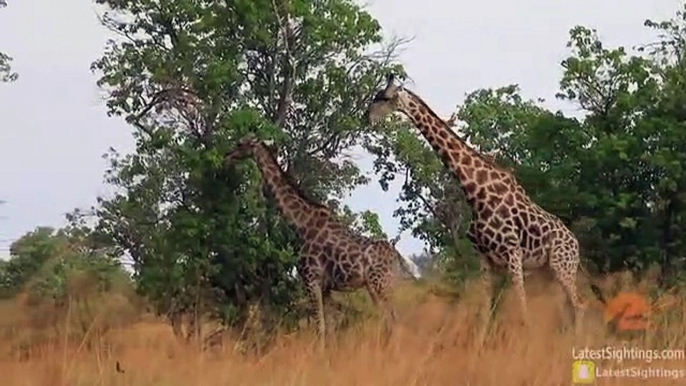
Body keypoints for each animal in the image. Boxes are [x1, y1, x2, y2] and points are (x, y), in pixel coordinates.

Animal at [226, 134, 420, 348]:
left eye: (240, 144)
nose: (228, 156)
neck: (301, 224)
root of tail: (396, 254)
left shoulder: (311, 279)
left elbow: (320, 327)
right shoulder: (327, 286)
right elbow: (330, 329)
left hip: (381, 283)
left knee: (393, 319)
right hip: (375, 285)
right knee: (387, 320)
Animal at [368, 74, 592, 344]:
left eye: (384, 97)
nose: (367, 118)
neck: (476, 193)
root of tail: (575, 243)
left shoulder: (513, 253)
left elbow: (522, 309)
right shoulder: (485, 258)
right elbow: (486, 312)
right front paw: (479, 347)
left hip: (562, 265)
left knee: (580, 305)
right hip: (547, 271)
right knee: (568, 307)